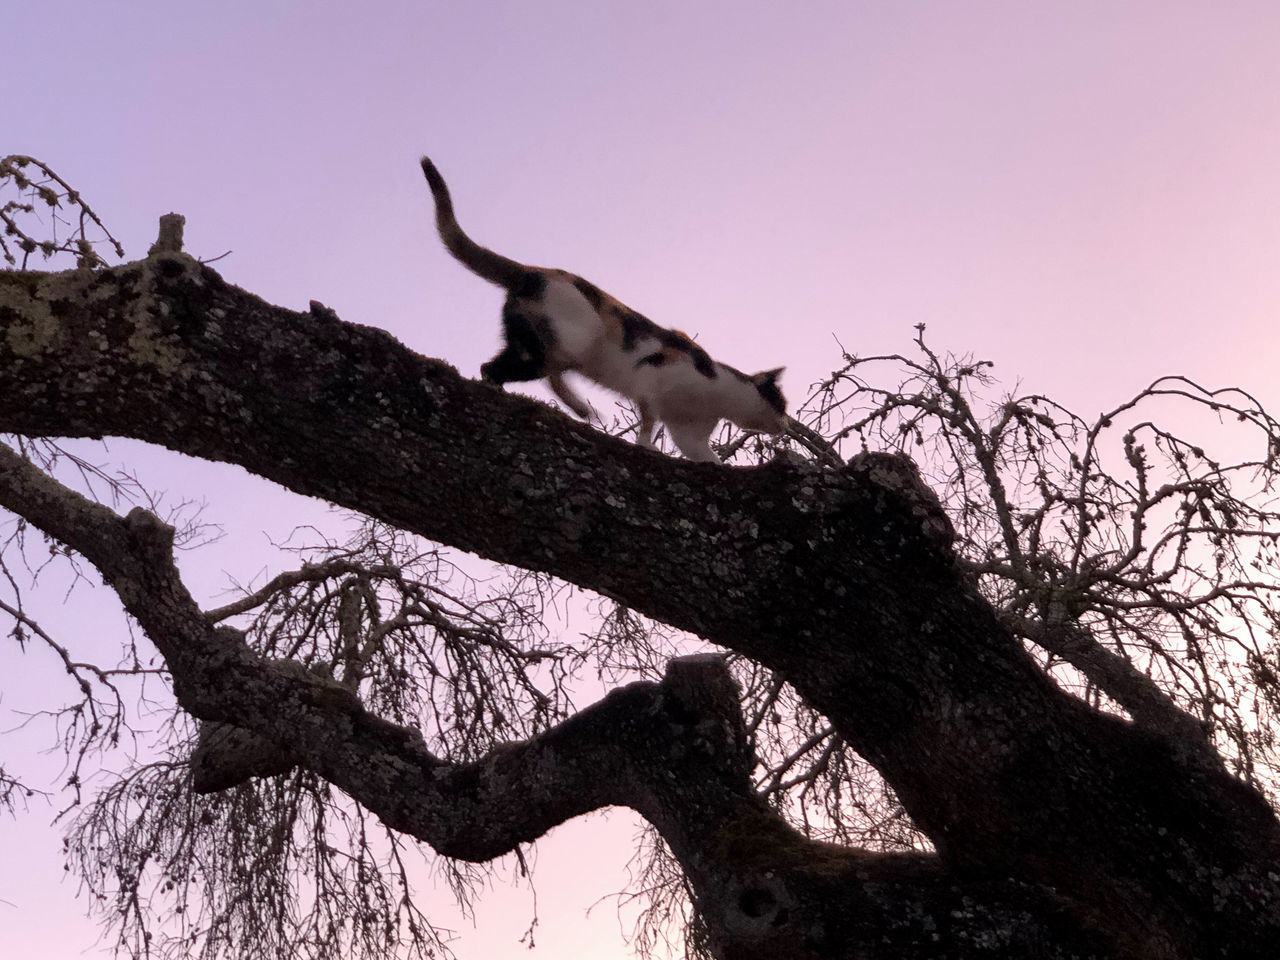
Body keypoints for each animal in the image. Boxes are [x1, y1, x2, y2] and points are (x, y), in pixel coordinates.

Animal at [419, 156, 783, 463]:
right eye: (782, 403)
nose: (785, 425)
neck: (716, 393)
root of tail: (533, 272)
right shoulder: (653, 375)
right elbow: (648, 418)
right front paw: (646, 446)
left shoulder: (688, 432)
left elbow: (704, 456)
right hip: (578, 334)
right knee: (542, 370)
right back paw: (577, 407)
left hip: (530, 341)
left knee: (499, 367)